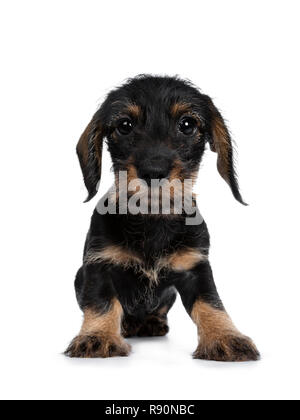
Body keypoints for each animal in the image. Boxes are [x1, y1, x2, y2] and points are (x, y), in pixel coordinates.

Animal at [65, 74, 260, 360]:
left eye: (187, 124)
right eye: (125, 125)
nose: (154, 172)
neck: (152, 221)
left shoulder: (195, 268)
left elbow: (211, 304)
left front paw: (225, 337)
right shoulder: (99, 266)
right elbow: (103, 303)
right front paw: (97, 336)